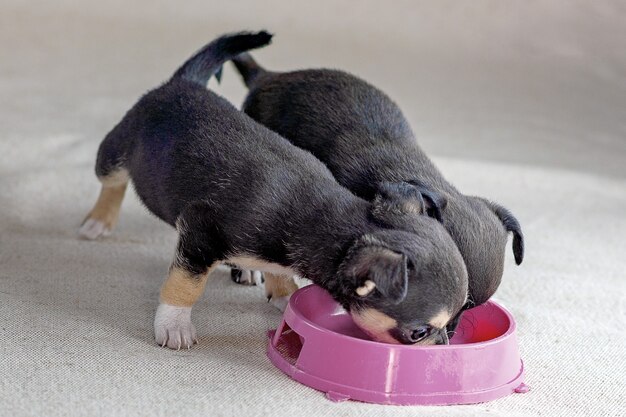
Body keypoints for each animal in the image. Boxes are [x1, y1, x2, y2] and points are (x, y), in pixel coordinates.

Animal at [79, 33, 468, 348]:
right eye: (419, 332)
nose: (445, 347)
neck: (321, 219)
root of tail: (183, 81)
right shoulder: (199, 235)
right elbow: (185, 284)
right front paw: (174, 324)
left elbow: (279, 273)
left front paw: (285, 296)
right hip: (115, 151)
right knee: (112, 181)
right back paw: (98, 220)